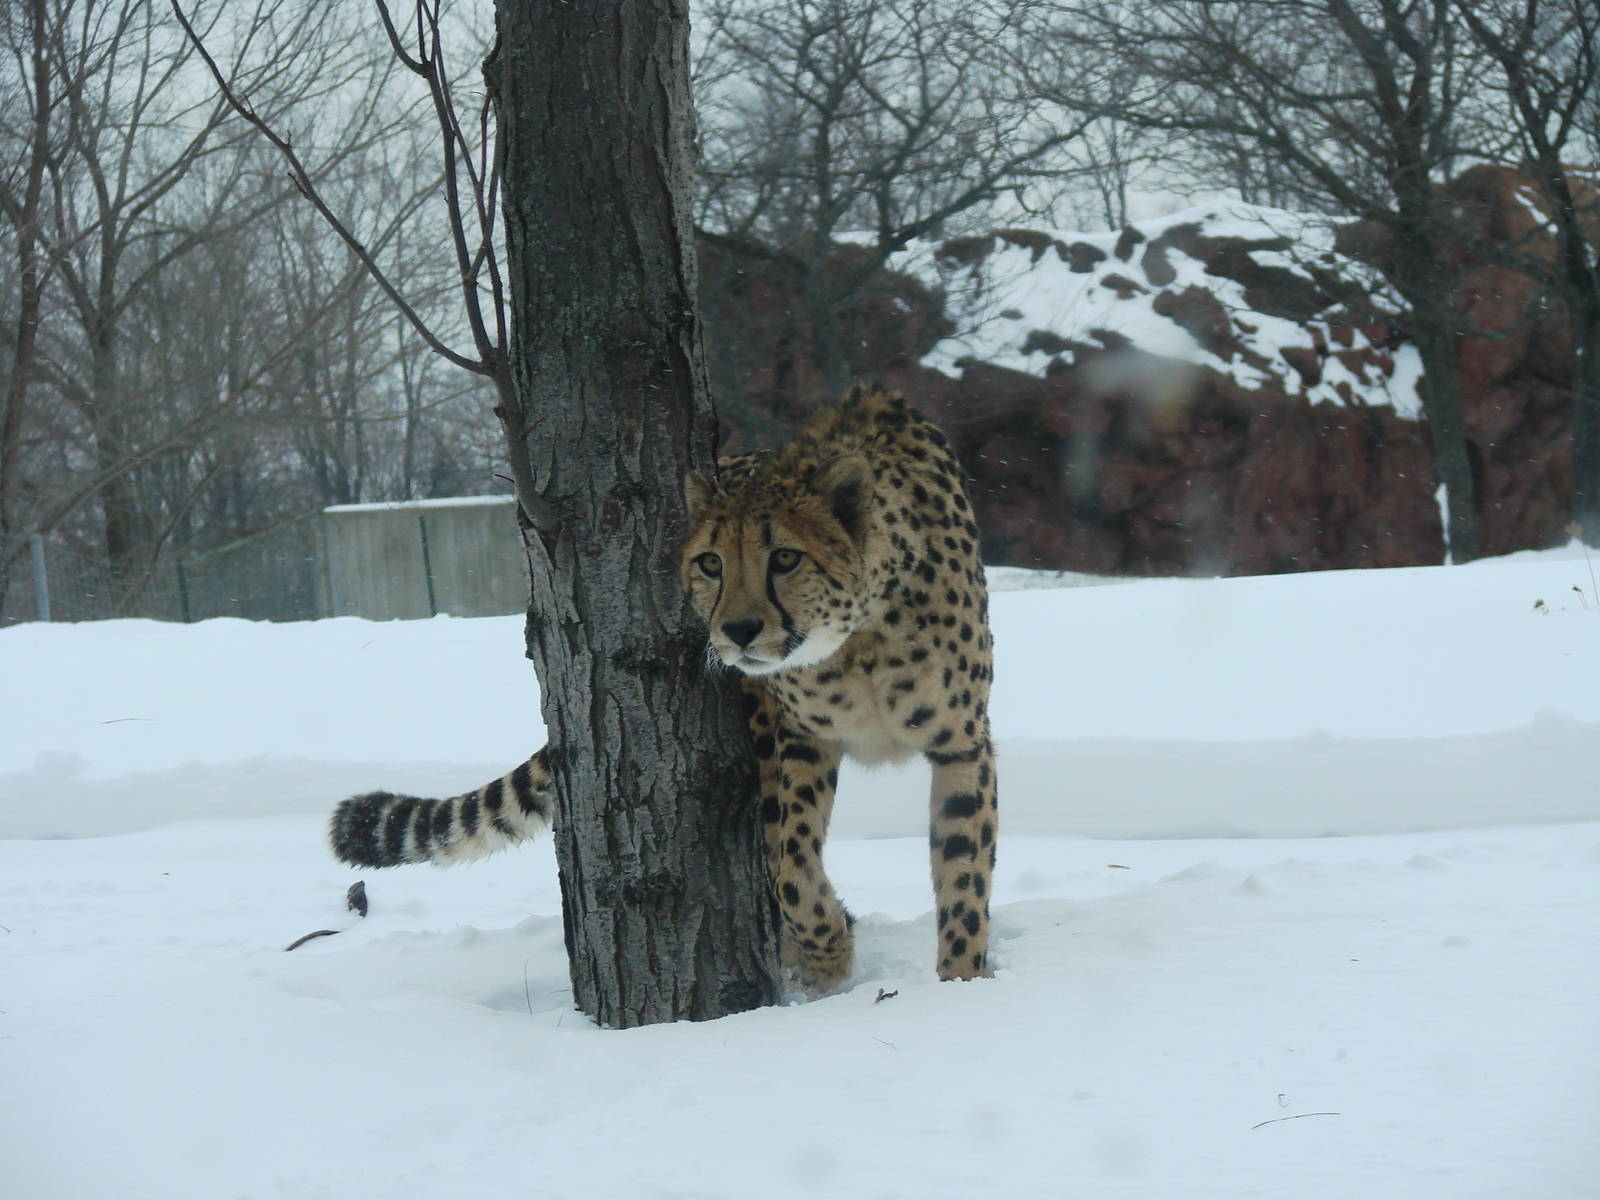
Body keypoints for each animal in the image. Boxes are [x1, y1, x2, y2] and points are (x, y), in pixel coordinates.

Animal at [328, 384, 997, 993]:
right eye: (711, 563)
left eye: (785, 558)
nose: (739, 631)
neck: (855, 639)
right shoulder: (796, 740)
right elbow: (791, 862)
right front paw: (827, 954)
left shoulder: (963, 743)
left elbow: (964, 872)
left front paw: (962, 984)